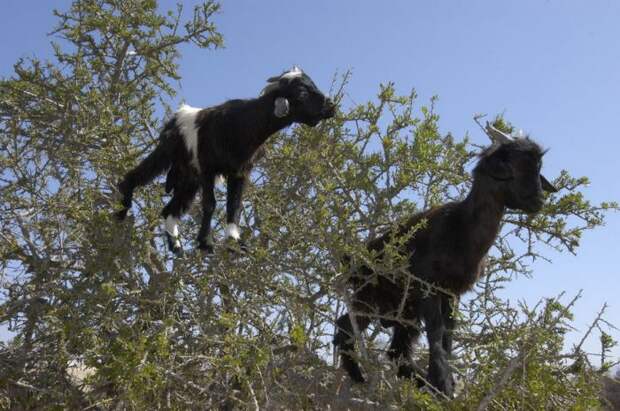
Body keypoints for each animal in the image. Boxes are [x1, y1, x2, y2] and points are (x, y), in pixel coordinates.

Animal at [113, 67, 332, 254]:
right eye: (301, 93)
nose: (331, 107)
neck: (244, 126)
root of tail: (177, 116)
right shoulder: (208, 168)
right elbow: (210, 204)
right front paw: (205, 243)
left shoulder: (240, 171)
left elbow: (234, 206)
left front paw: (234, 243)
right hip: (167, 154)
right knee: (138, 174)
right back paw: (121, 211)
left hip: (189, 178)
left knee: (170, 209)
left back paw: (176, 247)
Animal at [334, 124, 556, 398]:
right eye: (512, 166)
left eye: (538, 168)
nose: (538, 200)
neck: (462, 229)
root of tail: (352, 260)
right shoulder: (428, 286)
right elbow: (437, 333)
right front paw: (442, 382)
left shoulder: (451, 293)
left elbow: (448, 336)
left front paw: (446, 383)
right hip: (371, 297)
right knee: (346, 327)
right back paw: (359, 375)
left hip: (402, 311)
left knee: (396, 352)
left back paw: (415, 381)